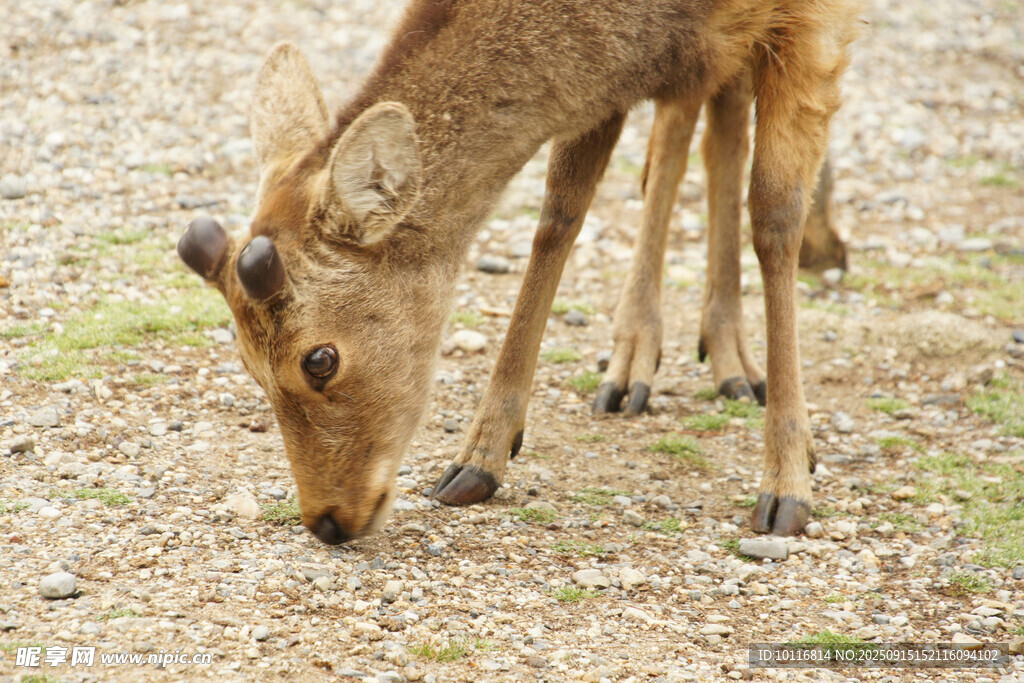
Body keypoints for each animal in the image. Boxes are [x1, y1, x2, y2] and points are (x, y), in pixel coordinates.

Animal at [177, 0, 858, 545]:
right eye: (247, 364)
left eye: (320, 359)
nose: (325, 521)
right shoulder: (610, 71)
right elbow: (560, 209)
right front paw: (479, 457)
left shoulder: (813, 18)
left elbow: (775, 216)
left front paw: (788, 485)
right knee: (692, 120)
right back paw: (659, 360)